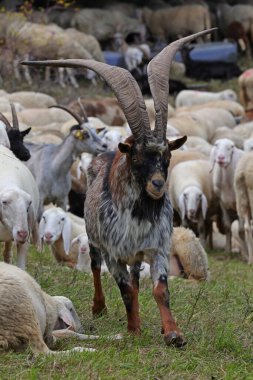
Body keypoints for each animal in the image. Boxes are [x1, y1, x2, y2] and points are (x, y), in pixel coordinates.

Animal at [21, 28, 214, 348]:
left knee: (135, 277)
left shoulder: (157, 247)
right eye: (136, 156)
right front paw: (134, 329)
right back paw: (100, 307)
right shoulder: (113, 253)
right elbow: (124, 288)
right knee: (97, 268)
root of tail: (107, 153)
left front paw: (173, 333)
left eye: (167, 155)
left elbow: (159, 289)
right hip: (95, 239)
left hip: (135, 255)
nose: (157, 185)